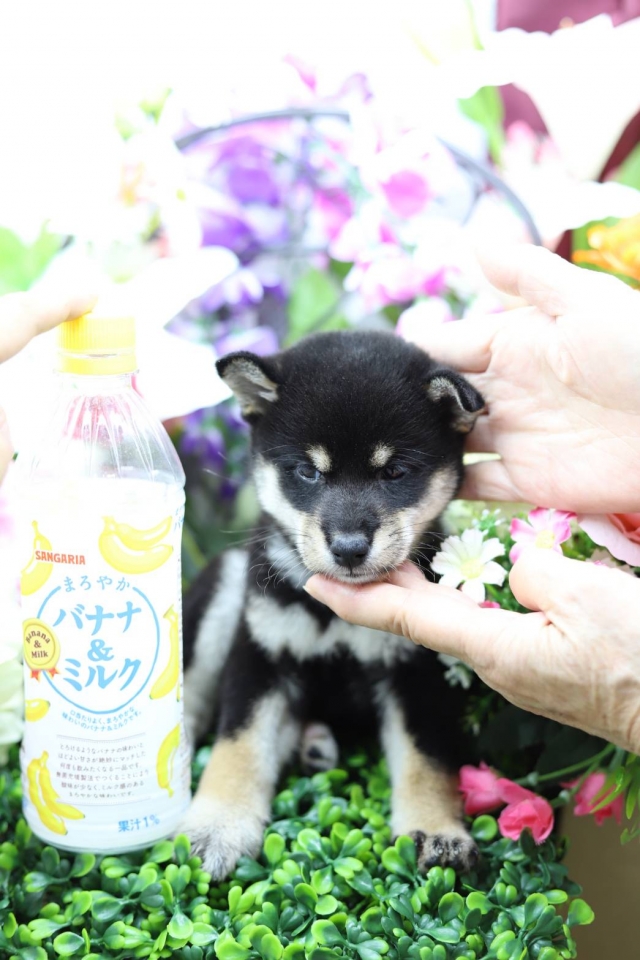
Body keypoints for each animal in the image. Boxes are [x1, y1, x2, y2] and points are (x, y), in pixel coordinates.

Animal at [180, 329, 485, 879]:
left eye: (395, 471)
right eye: (307, 471)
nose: (348, 548)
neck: (332, 617)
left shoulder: (415, 672)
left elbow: (426, 760)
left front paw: (436, 829)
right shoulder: (261, 653)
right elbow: (239, 744)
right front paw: (218, 825)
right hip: (226, 589)